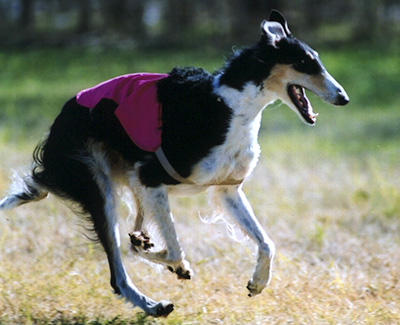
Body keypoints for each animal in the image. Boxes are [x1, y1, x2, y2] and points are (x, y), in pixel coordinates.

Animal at [0, 10, 346, 316]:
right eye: (305, 62)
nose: (344, 98)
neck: (229, 105)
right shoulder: (151, 176)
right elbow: (176, 249)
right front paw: (173, 263)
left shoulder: (226, 189)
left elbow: (267, 243)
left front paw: (258, 282)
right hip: (100, 188)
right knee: (117, 273)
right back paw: (152, 304)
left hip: (126, 183)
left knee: (132, 240)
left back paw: (145, 254)